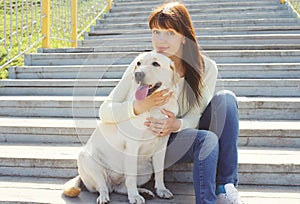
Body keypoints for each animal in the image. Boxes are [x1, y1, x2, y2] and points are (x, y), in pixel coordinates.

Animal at [63, 51, 179, 204]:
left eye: (156, 64)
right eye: (138, 63)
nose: (137, 74)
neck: (155, 108)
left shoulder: (162, 144)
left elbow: (160, 171)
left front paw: (161, 190)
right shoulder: (132, 145)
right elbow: (131, 177)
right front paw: (134, 196)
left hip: (146, 169)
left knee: (120, 187)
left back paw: (143, 191)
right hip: (87, 159)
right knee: (102, 186)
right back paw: (105, 196)